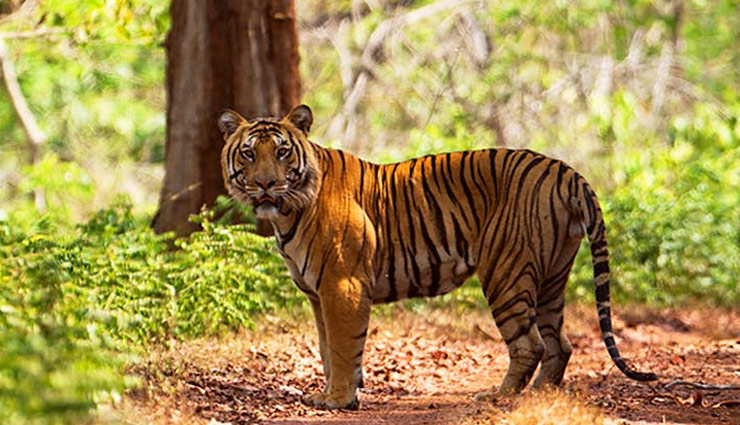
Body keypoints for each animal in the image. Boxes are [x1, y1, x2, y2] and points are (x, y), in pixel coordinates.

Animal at [218, 104, 657, 410]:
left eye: (281, 152)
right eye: (248, 155)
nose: (265, 185)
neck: (288, 213)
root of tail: (565, 170)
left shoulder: (341, 285)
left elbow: (342, 347)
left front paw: (338, 399)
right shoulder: (317, 293)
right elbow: (328, 349)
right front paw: (336, 394)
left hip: (505, 273)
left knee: (529, 344)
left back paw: (499, 397)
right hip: (553, 276)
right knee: (560, 345)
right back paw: (538, 398)